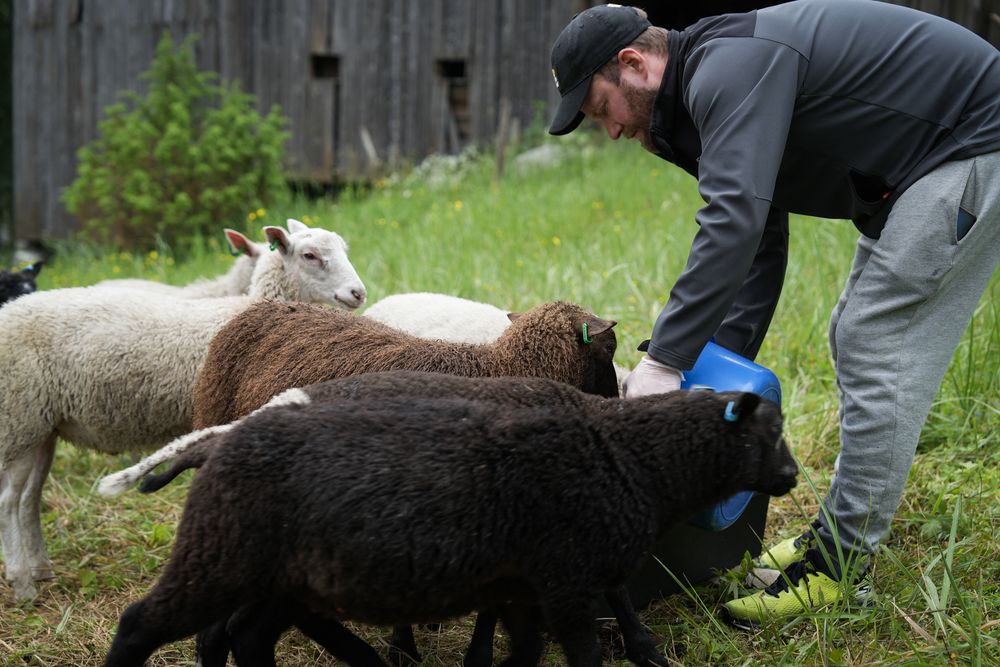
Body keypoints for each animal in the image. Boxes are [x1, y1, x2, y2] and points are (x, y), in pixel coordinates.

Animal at [100, 388, 798, 667]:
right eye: (769, 434)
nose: (793, 475)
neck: (632, 456)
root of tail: (220, 440)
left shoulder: (527, 589)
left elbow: (524, 651)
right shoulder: (565, 584)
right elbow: (585, 648)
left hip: (281, 579)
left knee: (245, 637)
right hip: (221, 557)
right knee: (140, 623)